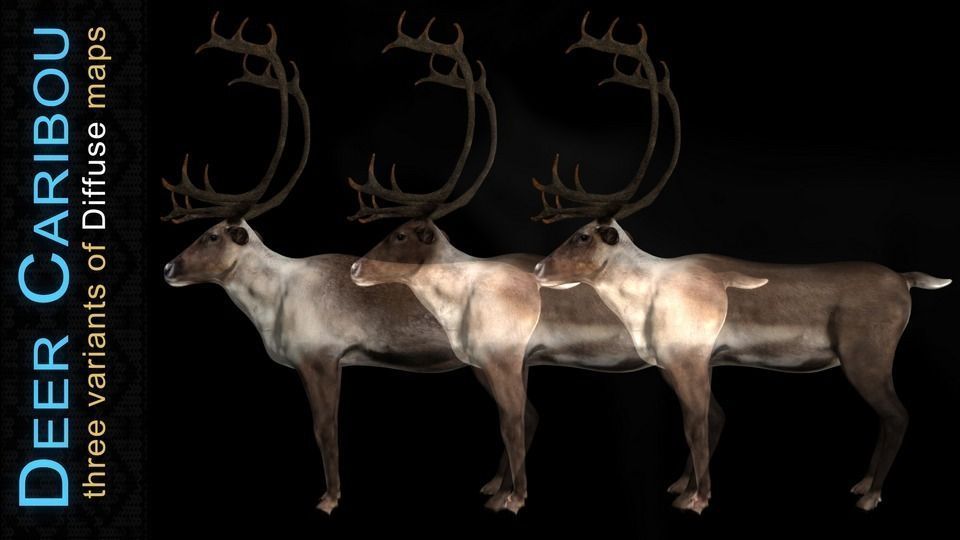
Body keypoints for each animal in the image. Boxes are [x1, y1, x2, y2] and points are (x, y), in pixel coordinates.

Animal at [160, 13, 544, 515]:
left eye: (210, 235)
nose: (169, 268)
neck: (275, 299)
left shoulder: (320, 357)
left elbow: (325, 430)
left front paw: (329, 498)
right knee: (522, 415)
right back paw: (496, 488)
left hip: (492, 358)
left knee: (519, 416)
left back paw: (506, 495)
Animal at [347, 13, 739, 514]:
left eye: (398, 234)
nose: (355, 268)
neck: (461, 294)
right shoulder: (498, 361)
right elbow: (519, 419)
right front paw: (497, 487)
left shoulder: (502, 357)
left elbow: (516, 421)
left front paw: (512, 497)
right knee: (711, 414)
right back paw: (682, 486)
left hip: (682, 357)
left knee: (703, 415)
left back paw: (694, 495)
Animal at [530, 13, 952, 514]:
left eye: (581, 235)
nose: (538, 270)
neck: (647, 295)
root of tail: (906, 280)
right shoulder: (685, 363)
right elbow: (710, 420)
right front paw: (682, 487)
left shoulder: (688, 358)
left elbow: (699, 423)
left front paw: (696, 498)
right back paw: (862, 485)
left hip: (867, 354)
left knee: (897, 415)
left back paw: (869, 494)